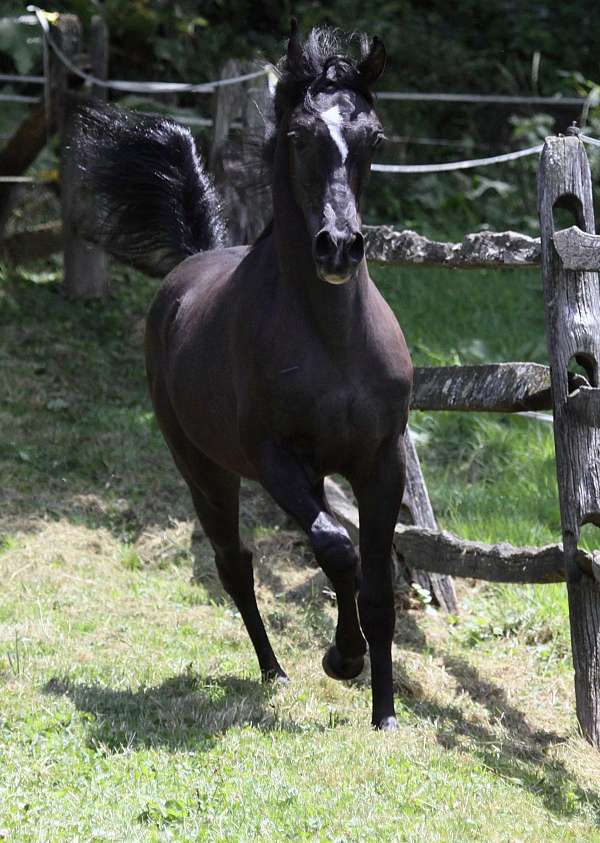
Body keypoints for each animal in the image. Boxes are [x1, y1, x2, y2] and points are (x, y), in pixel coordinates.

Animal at [76, 23, 413, 730]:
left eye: (373, 138)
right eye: (299, 136)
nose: (338, 247)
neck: (332, 339)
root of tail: (191, 262)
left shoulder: (381, 461)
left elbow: (377, 585)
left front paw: (385, 714)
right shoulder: (278, 460)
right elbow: (335, 549)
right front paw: (341, 660)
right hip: (205, 470)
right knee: (234, 564)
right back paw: (273, 670)